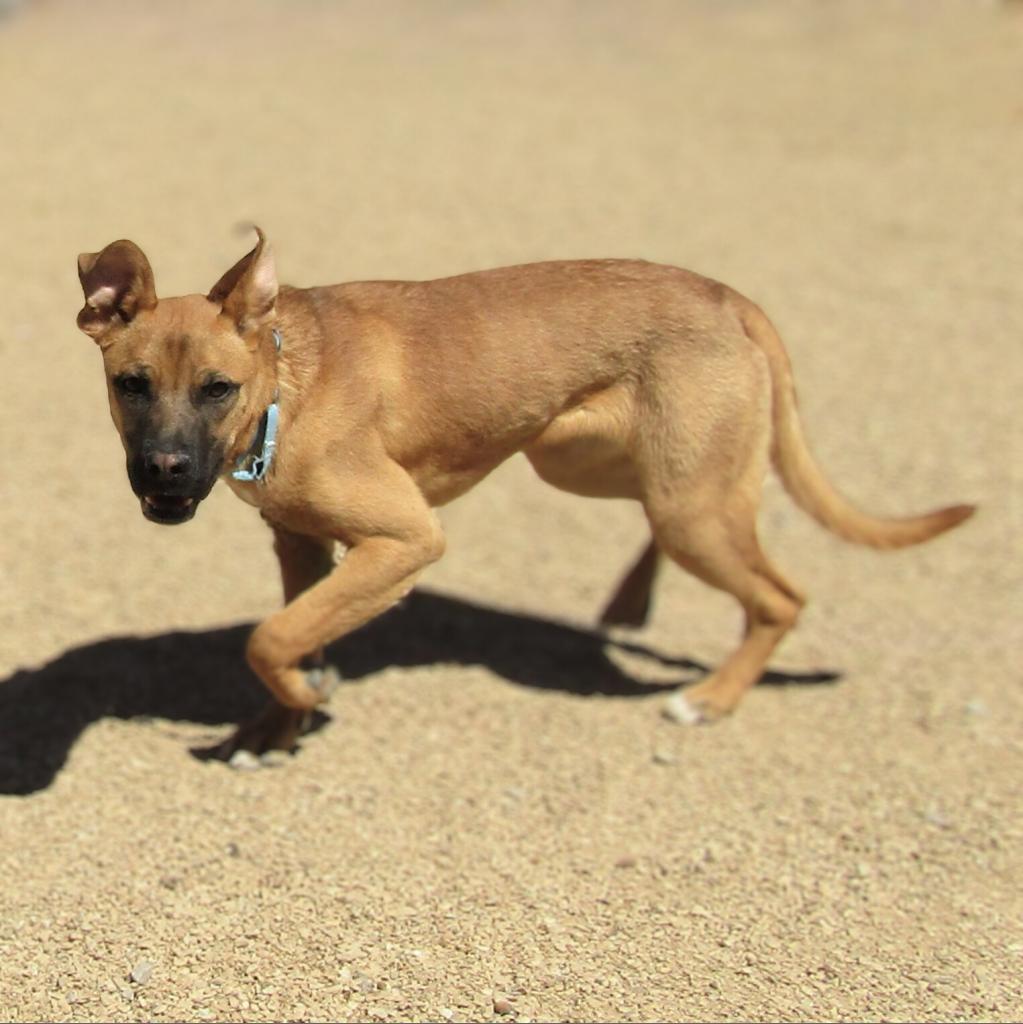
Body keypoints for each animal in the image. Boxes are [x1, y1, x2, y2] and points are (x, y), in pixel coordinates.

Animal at [74, 232, 974, 757]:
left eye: (217, 389)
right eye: (131, 385)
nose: (165, 473)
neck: (285, 383)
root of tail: (727, 296)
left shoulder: (403, 541)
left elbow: (270, 640)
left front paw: (301, 701)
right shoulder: (302, 543)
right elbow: (296, 633)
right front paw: (277, 725)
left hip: (683, 504)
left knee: (778, 597)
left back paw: (710, 700)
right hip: (590, 462)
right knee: (686, 529)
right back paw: (631, 599)